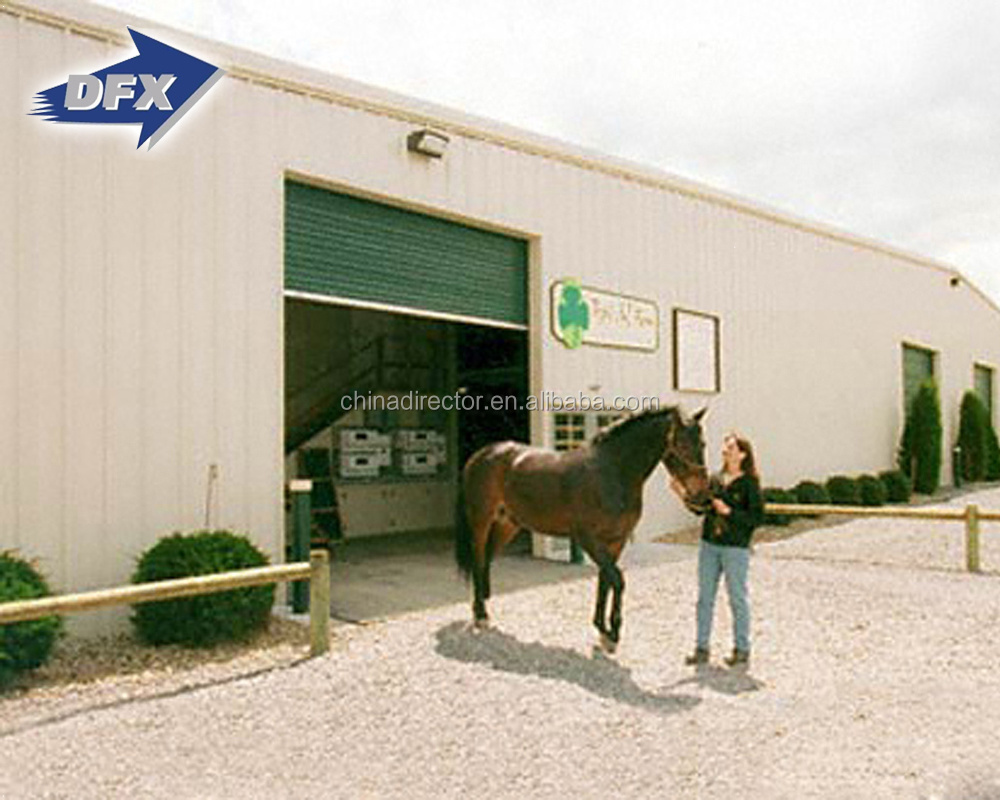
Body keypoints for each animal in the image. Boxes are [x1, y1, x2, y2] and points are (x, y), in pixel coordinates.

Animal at [456, 406, 712, 648]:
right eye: (681, 444)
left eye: (702, 443)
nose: (701, 497)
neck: (612, 472)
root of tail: (481, 455)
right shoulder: (589, 539)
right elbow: (617, 580)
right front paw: (613, 635)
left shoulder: (616, 540)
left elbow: (605, 581)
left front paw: (601, 629)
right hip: (481, 521)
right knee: (478, 559)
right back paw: (480, 614)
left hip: (508, 524)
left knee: (486, 559)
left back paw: (484, 604)